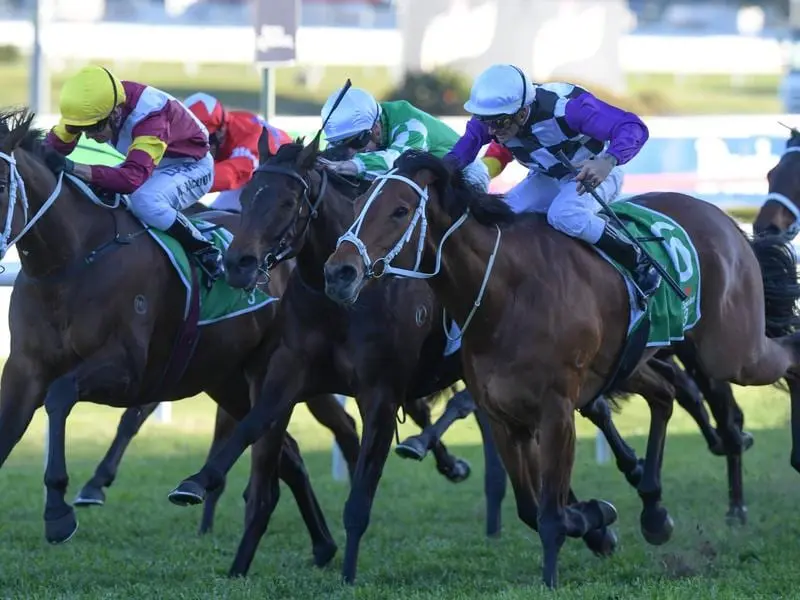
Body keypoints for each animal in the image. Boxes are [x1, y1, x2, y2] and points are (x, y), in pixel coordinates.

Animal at [0, 109, 344, 568]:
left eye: (2, 184)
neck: (70, 262)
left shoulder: (126, 368)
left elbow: (60, 395)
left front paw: (58, 512)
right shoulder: (23, 371)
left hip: (271, 372)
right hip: (227, 379)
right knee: (289, 453)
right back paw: (322, 544)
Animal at [166, 131, 620, 584]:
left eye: (287, 201)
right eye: (246, 197)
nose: (237, 264)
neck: (342, 304)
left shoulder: (380, 393)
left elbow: (359, 497)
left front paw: (348, 576)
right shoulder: (288, 371)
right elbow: (254, 433)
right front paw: (202, 495)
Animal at [322, 148, 800, 588]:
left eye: (400, 210)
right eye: (359, 199)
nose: (339, 272)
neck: (504, 293)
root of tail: (725, 220)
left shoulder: (556, 411)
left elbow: (549, 512)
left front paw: (559, 564)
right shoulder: (502, 414)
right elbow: (530, 508)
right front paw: (594, 516)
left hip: (732, 349)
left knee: (787, 357)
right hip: (633, 361)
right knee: (666, 393)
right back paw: (654, 511)